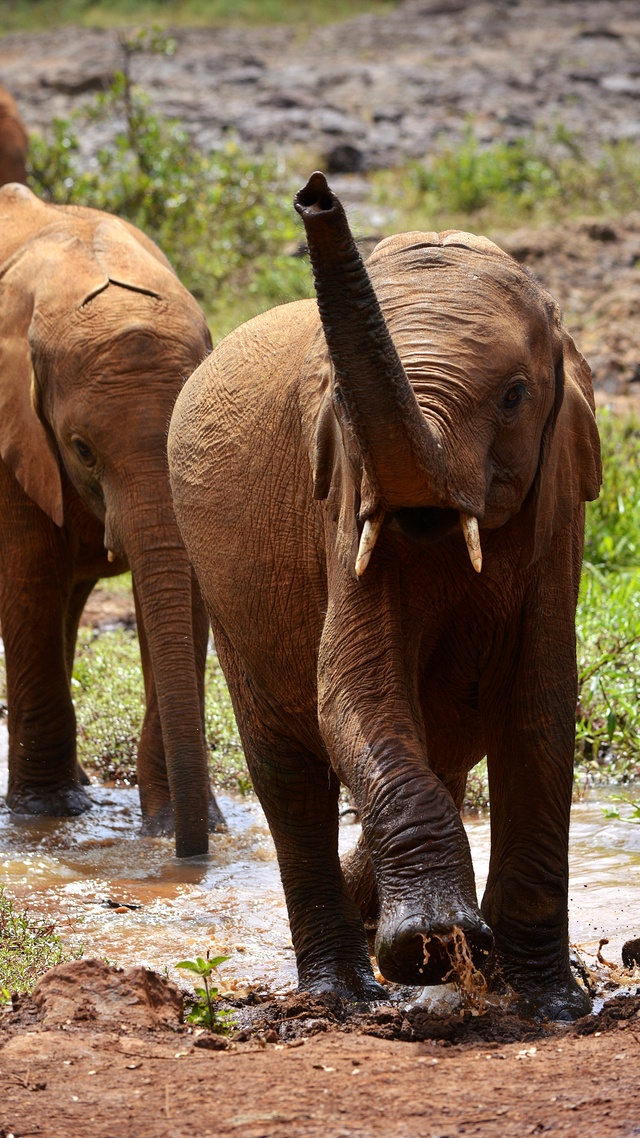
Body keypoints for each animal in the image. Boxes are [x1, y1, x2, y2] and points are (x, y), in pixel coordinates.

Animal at [168, 170, 596, 1024]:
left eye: (515, 396)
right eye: (338, 397)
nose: (315, 192)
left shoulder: (555, 506)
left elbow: (539, 706)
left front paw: (550, 1003)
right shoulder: (343, 495)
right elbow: (354, 690)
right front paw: (431, 948)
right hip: (225, 589)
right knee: (289, 772)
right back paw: (341, 993)